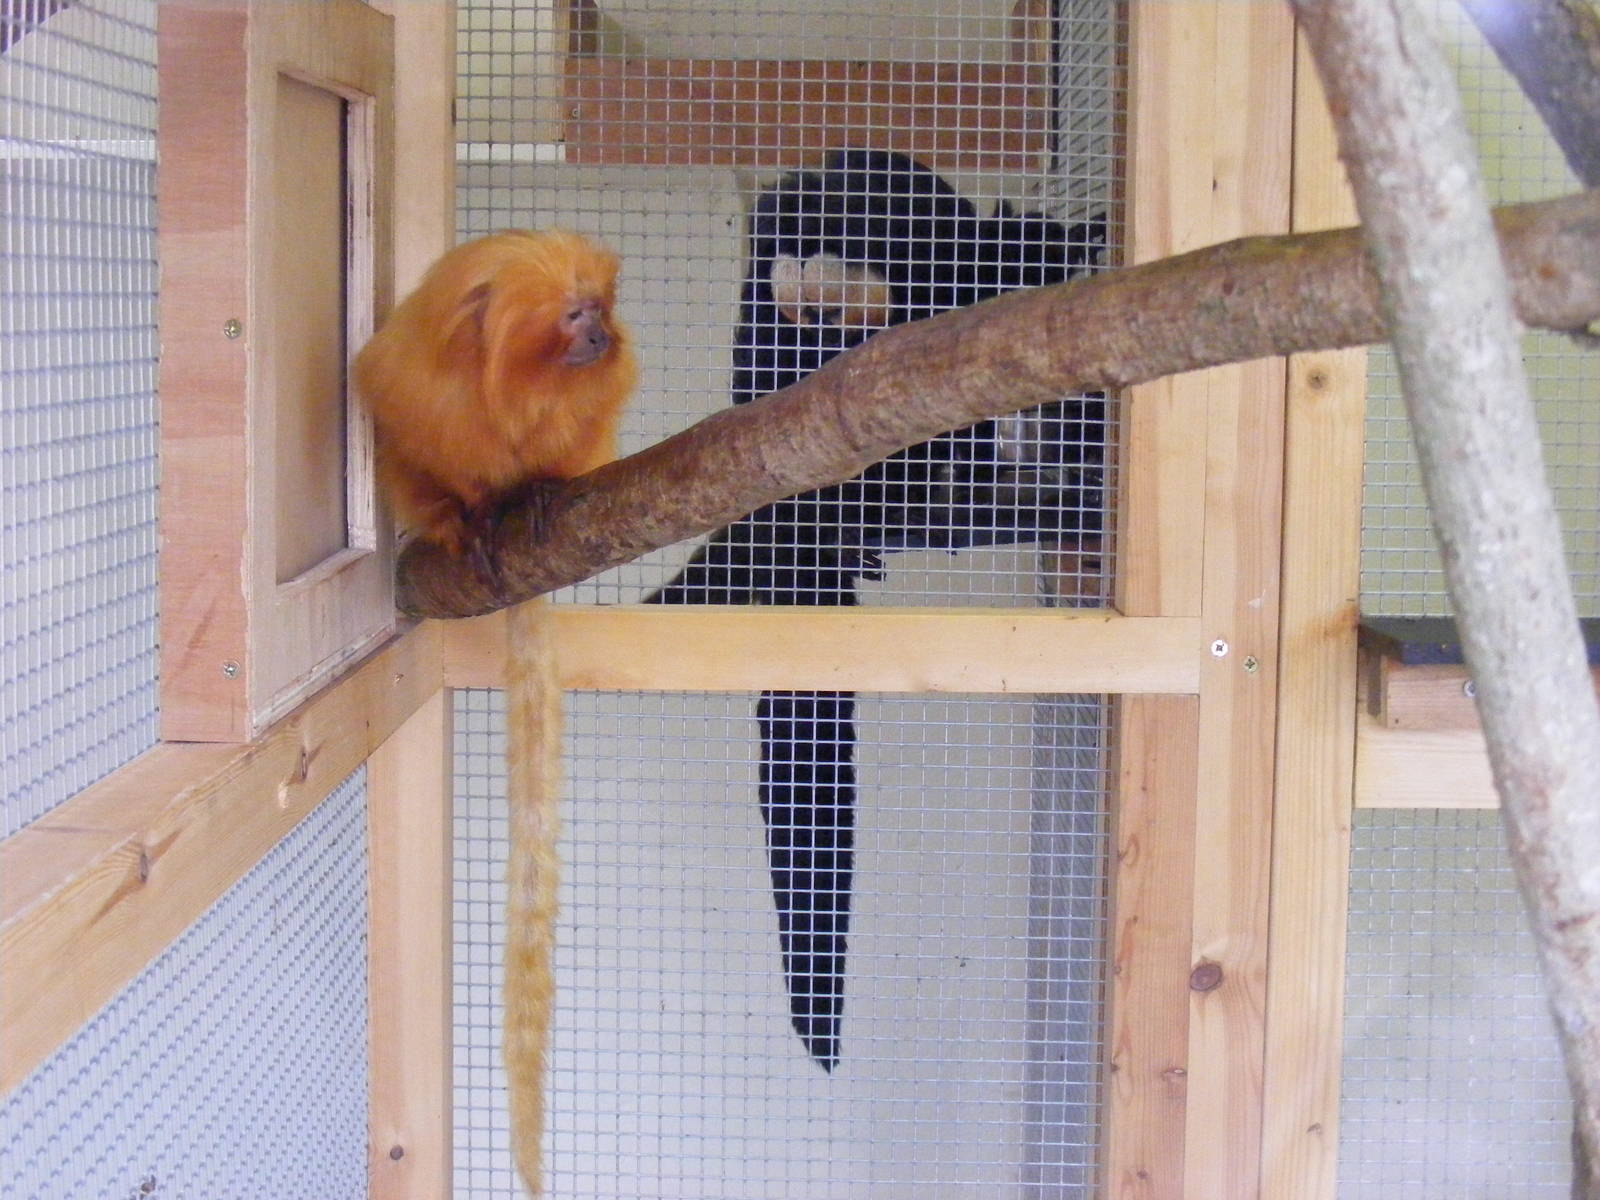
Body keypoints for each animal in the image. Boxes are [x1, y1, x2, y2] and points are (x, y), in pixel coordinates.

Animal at [354, 228, 637, 1197]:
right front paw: (470, 516)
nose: (601, 335)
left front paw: (536, 491)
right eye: (574, 312)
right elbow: (428, 461)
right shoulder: (409, 394)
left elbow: (562, 457)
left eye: (600, 308)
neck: (521, 384)